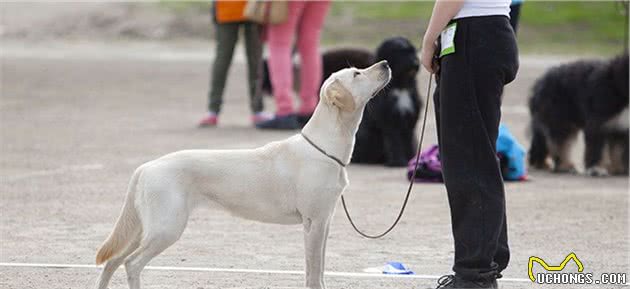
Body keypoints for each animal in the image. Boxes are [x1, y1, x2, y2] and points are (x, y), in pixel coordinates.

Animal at [95, 59, 390, 286]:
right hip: (166, 228)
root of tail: (145, 167)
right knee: (132, 264)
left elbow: (320, 269)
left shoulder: (324, 221)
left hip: (144, 228)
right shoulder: (313, 222)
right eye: (357, 73)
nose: (385, 63)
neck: (324, 146)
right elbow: (313, 272)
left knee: (112, 262)